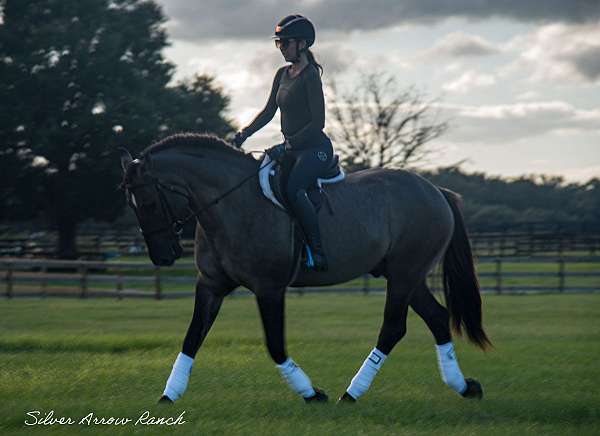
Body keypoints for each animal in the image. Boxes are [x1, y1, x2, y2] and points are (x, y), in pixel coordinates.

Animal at [119, 132, 490, 406]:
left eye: (149, 202)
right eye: (131, 205)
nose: (163, 256)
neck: (230, 205)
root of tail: (435, 190)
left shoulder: (268, 288)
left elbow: (274, 344)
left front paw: (311, 393)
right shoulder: (211, 285)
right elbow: (192, 337)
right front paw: (169, 396)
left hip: (404, 275)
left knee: (393, 328)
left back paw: (352, 393)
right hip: (405, 277)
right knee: (437, 317)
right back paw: (463, 386)